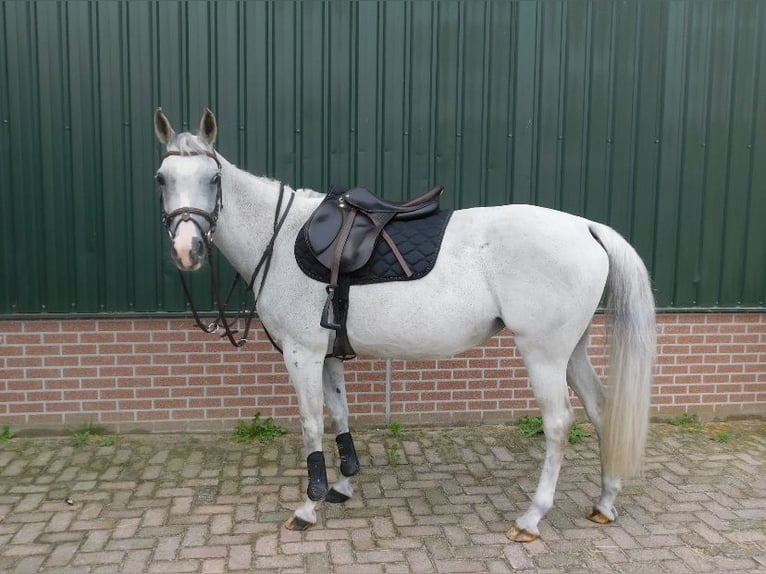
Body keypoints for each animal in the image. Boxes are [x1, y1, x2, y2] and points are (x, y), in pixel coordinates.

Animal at [154, 109, 656, 544]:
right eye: (162, 179)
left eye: (213, 179)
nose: (186, 250)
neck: (280, 239)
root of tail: (587, 227)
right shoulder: (329, 355)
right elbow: (340, 415)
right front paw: (343, 486)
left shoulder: (303, 354)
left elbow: (312, 424)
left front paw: (308, 507)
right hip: (572, 351)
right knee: (601, 409)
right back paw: (605, 502)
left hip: (544, 354)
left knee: (558, 423)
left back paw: (532, 517)